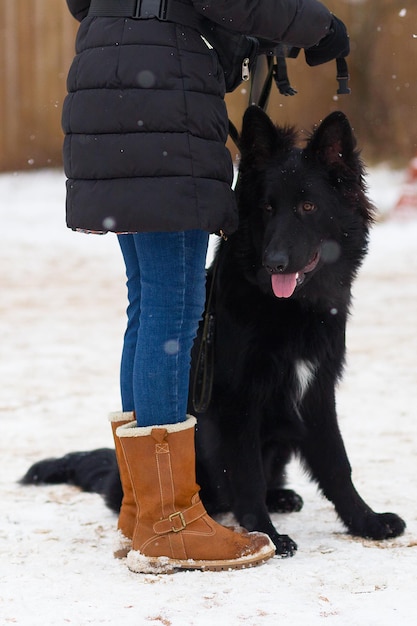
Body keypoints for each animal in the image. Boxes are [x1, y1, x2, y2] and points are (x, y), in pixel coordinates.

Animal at [21, 105, 404, 552]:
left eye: (308, 207)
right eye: (267, 209)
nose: (274, 262)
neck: (284, 308)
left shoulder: (316, 392)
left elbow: (337, 464)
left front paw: (366, 521)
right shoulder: (237, 402)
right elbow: (247, 474)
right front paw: (266, 534)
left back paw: (282, 496)